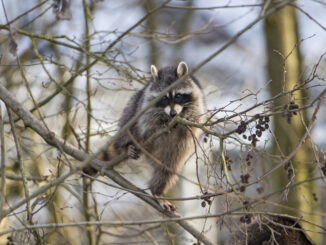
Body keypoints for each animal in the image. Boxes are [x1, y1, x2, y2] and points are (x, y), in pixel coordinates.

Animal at [86, 61, 206, 212]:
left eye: (178, 95)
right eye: (164, 98)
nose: (173, 114)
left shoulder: (197, 101)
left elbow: (195, 121)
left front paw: (187, 119)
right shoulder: (145, 102)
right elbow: (147, 121)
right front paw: (161, 123)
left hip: (175, 154)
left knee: (167, 171)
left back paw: (157, 190)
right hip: (130, 116)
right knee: (129, 123)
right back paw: (127, 147)